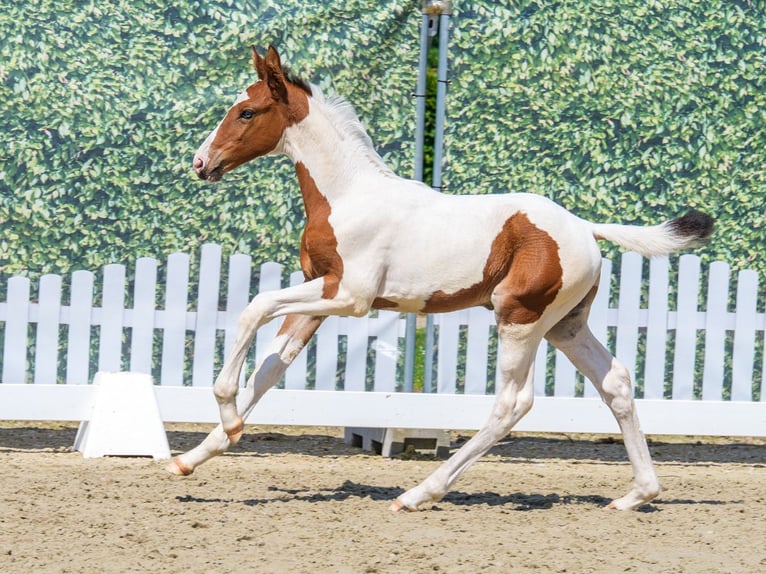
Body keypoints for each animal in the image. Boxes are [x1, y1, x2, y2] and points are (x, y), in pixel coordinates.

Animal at [170, 45, 714, 512]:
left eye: (246, 112)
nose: (201, 163)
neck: (348, 195)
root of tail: (584, 227)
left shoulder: (349, 296)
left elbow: (254, 308)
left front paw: (227, 415)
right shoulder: (318, 297)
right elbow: (268, 369)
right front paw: (196, 455)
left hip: (520, 319)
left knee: (513, 403)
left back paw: (418, 494)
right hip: (565, 325)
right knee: (616, 382)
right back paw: (636, 495)